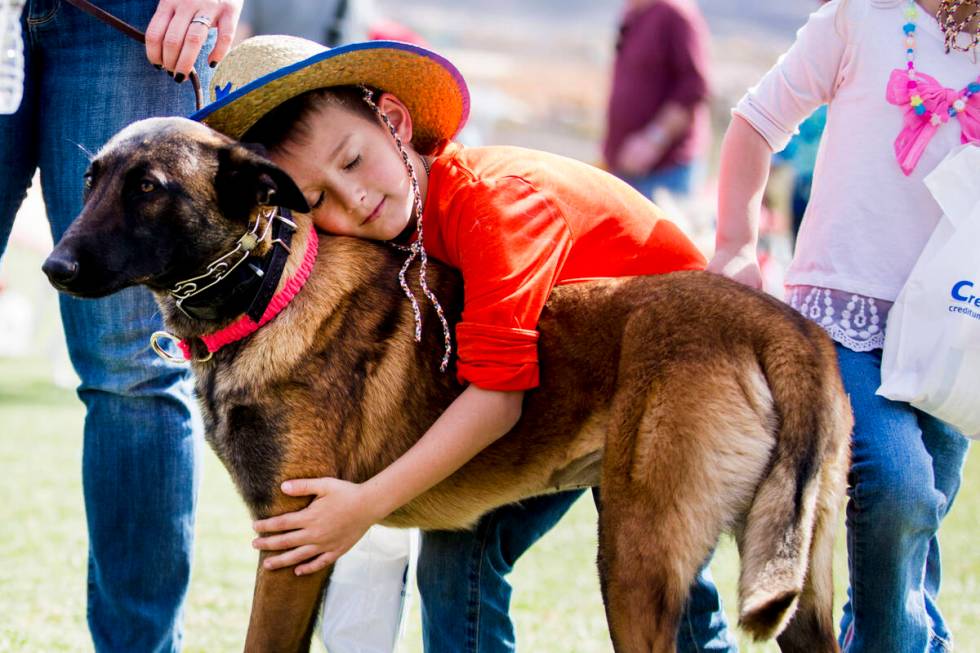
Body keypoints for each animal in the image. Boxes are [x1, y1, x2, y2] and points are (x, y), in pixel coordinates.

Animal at [42, 118, 848, 652]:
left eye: (148, 188)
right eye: (91, 179)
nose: (54, 266)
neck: (271, 288)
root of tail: (784, 326)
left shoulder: (292, 546)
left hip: (634, 557)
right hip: (798, 576)